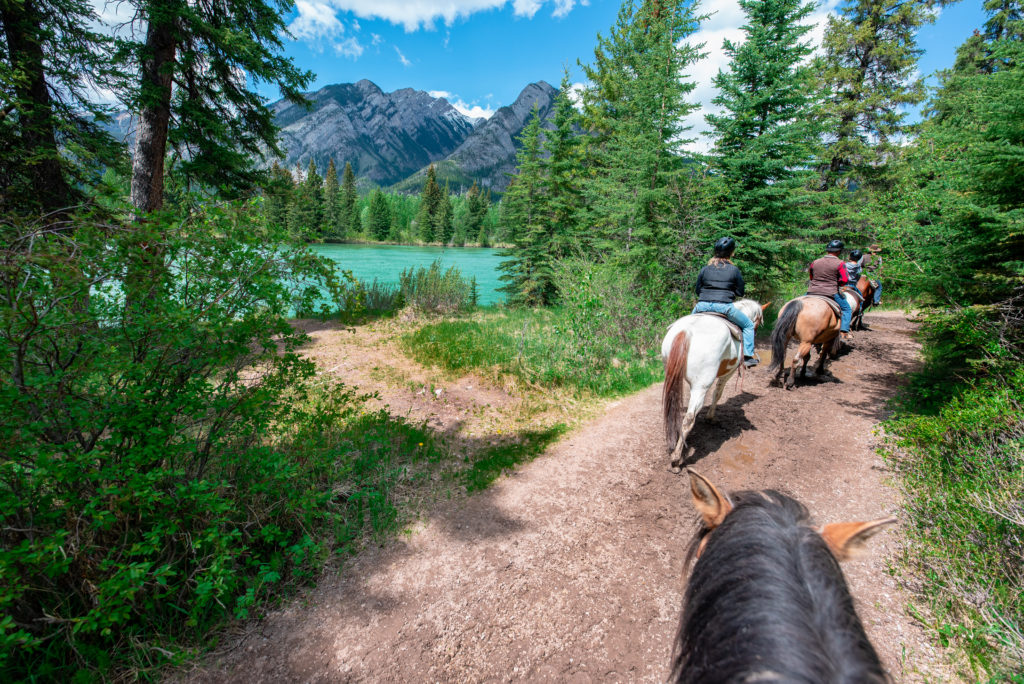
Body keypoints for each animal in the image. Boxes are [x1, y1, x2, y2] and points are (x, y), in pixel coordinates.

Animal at [659, 296, 765, 473]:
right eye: (756, 323)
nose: (756, 330)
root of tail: (686, 331)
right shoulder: (728, 374)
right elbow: (718, 393)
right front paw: (711, 417)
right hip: (701, 386)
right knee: (689, 419)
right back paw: (676, 460)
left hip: (672, 375)